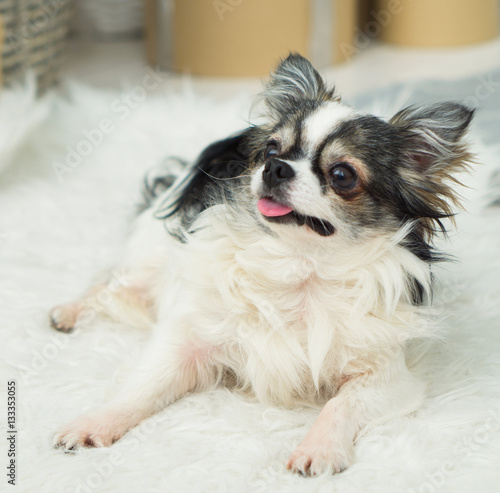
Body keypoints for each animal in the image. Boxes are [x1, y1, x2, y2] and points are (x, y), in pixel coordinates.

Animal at [50, 52, 472, 472]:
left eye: (342, 175)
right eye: (271, 151)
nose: (276, 167)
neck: (300, 264)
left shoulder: (387, 377)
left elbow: (341, 404)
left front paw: (319, 448)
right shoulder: (188, 343)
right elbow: (142, 389)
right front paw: (95, 423)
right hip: (154, 257)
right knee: (110, 285)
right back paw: (68, 312)